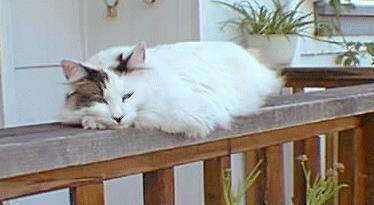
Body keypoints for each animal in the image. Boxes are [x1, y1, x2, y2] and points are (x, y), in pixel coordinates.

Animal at [61, 41, 282, 138]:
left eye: (128, 96)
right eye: (101, 100)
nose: (118, 117)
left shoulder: (198, 109)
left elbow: (145, 118)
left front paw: (95, 121)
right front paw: (92, 120)